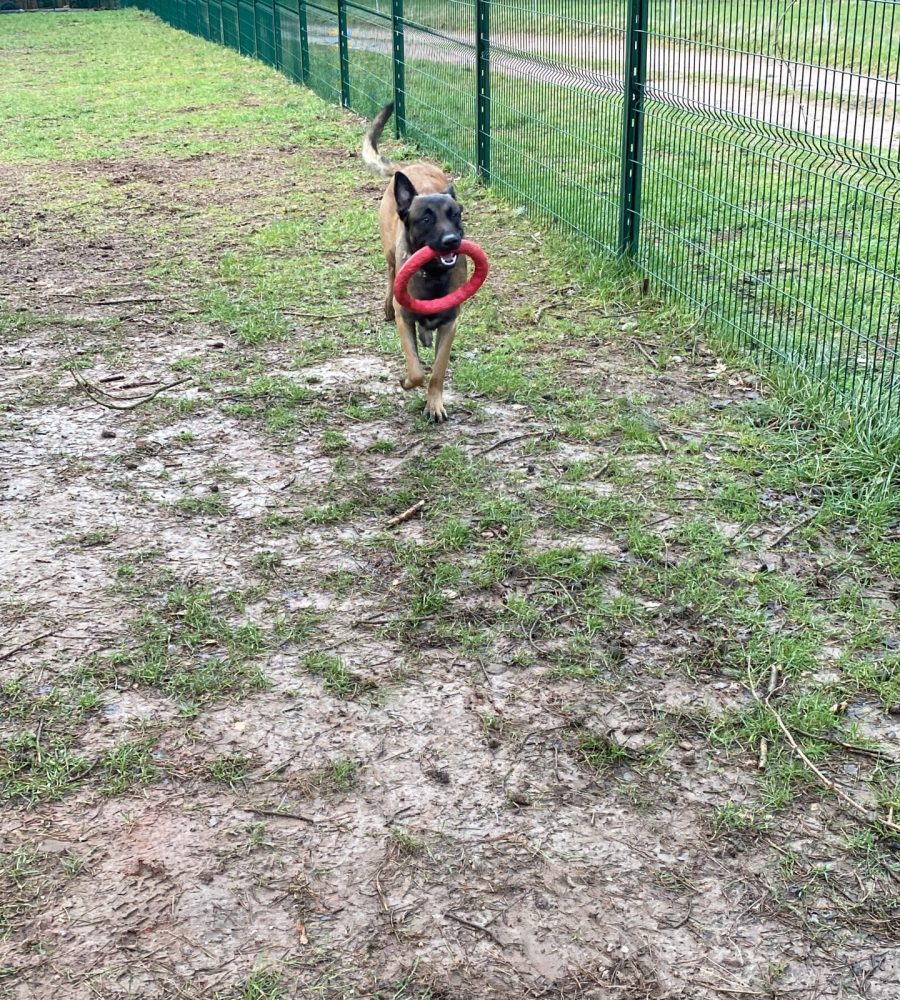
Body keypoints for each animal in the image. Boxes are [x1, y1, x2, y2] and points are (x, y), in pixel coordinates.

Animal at [362, 103, 468, 424]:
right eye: (426, 219)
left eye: (455, 215)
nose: (452, 241)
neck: (432, 274)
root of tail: (408, 167)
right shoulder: (405, 320)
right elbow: (417, 369)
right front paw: (407, 381)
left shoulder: (450, 324)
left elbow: (437, 372)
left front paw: (434, 404)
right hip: (388, 254)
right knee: (389, 274)